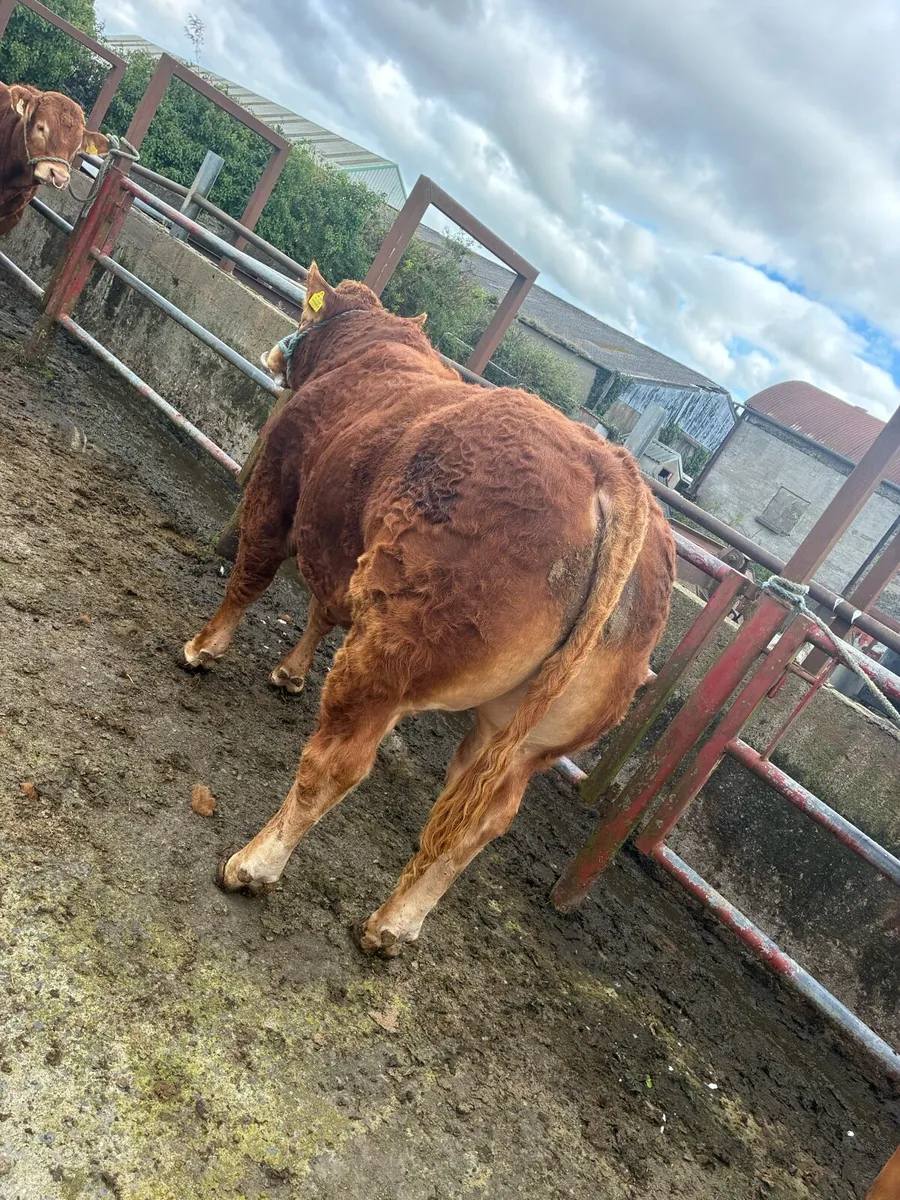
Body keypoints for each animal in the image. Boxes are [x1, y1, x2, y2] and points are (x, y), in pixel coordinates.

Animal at [184, 263, 675, 956]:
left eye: (306, 311)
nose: (277, 353)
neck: (364, 353)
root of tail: (611, 468)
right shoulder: (346, 552)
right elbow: (324, 609)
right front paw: (291, 671)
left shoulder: (280, 490)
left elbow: (250, 577)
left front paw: (204, 648)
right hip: (524, 738)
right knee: (481, 822)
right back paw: (393, 924)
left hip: (395, 648)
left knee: (336, 765)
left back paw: (253, 864)